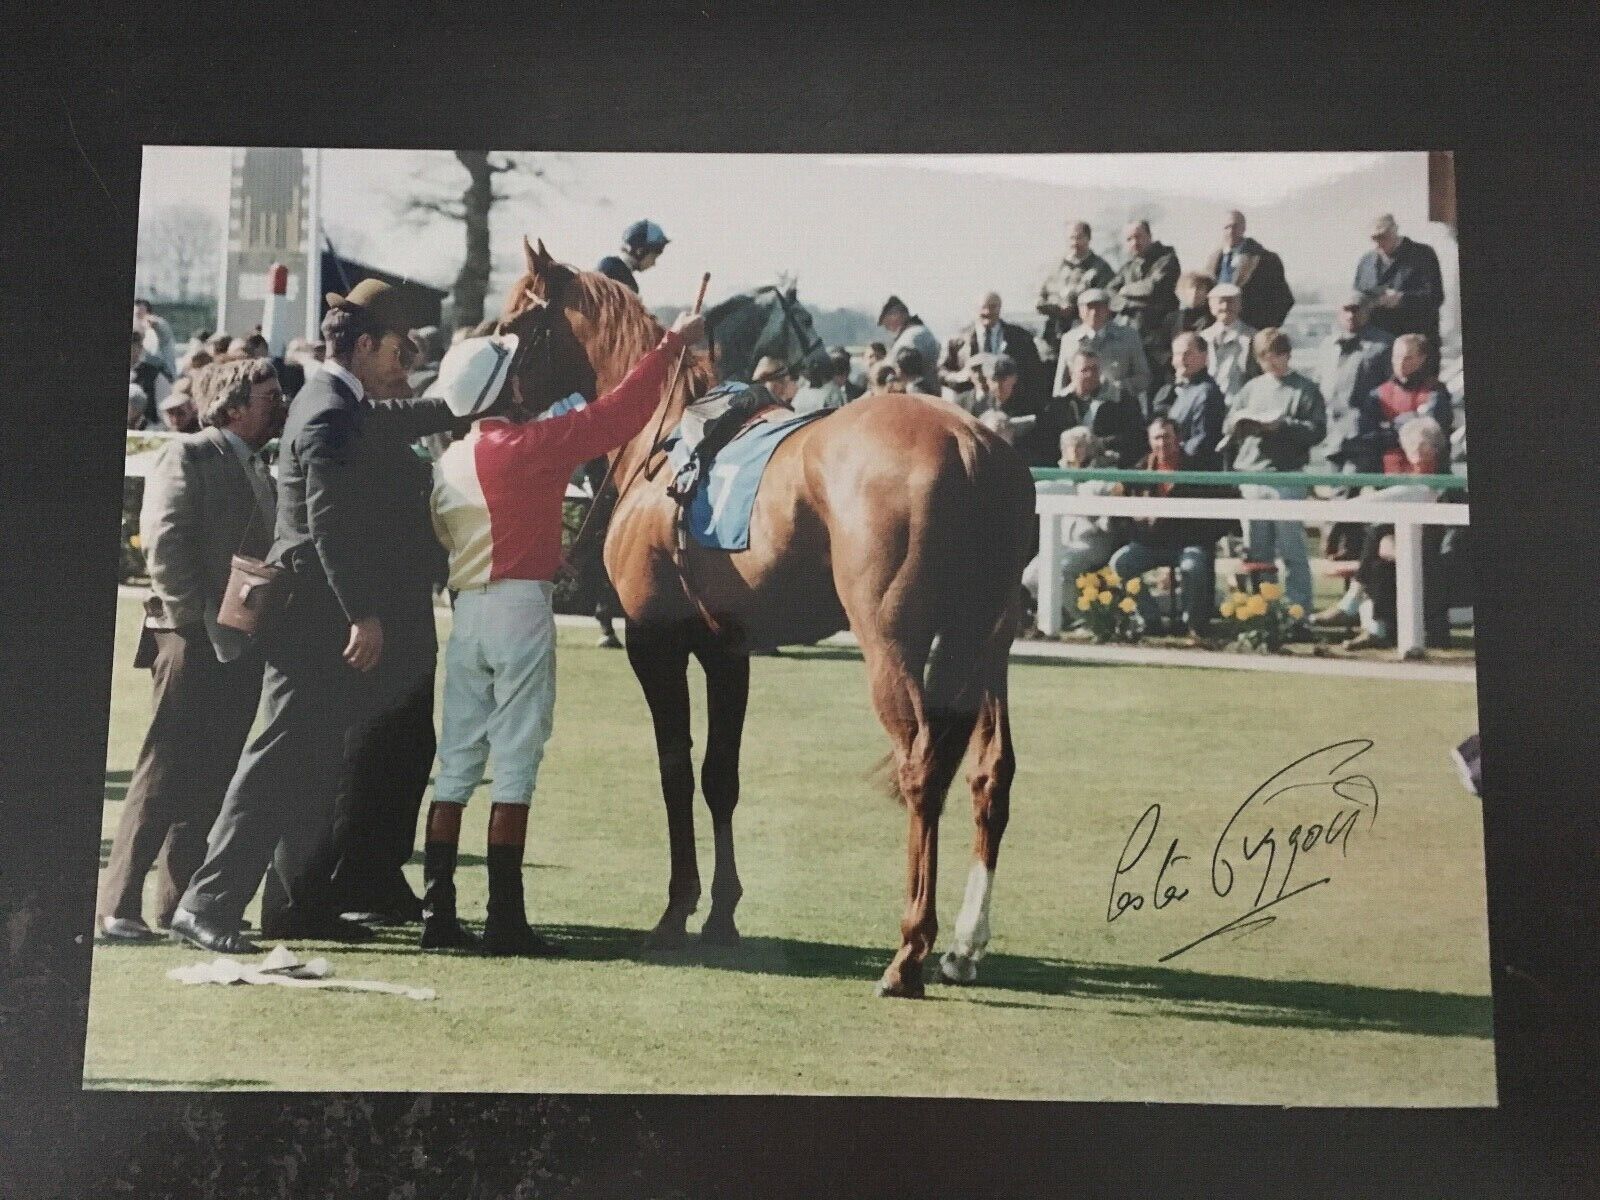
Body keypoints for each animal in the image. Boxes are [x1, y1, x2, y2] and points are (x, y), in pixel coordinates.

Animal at [499, 236, 1036, 998]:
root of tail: (972, 443)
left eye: (514, 320)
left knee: (922, 768)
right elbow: (720, 775)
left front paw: (677, 913)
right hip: (984, 645)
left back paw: (910, 950)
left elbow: (674, 768)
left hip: (893, 645)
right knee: (990, 772)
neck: (665, 435)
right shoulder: (728, 649)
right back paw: (963, 946)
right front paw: (722, 915)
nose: (489, 409)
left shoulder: (655, 641)